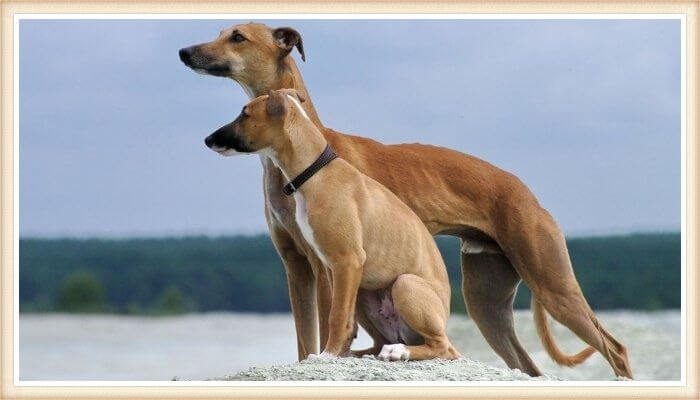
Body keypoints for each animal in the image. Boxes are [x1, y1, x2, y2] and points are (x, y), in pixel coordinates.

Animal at [205, 89, 462, 360]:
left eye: (245, 114)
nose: (207, 139)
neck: (315, 172)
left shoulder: (347, 260)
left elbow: (336, 316)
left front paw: (327, 354)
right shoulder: (333, 267)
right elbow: (341, 317)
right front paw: (334, 353)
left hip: (405, 284)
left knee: (442, 346)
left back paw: (398, 351)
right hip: (364, 293)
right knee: (379, 341)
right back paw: (362, 353)